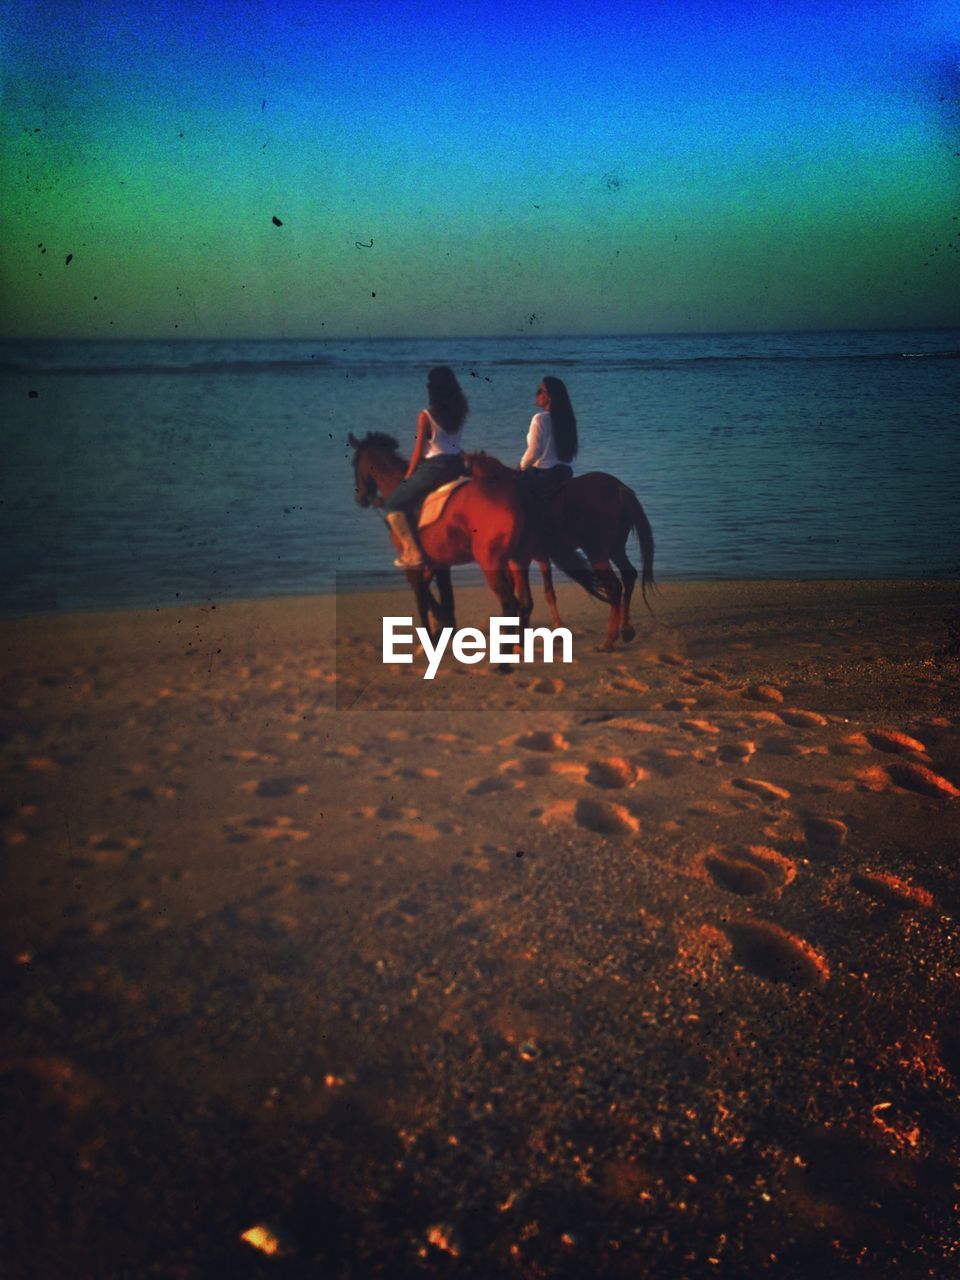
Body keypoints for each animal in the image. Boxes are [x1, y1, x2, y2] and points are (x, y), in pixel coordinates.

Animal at [350, 435, 611, 645]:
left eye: (354, 463)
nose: (361, 497)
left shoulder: (415, 563)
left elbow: (422, 594)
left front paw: (435, 629)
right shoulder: (438, 562)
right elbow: (443, 595)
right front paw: (443, 626)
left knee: (517, 600)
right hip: (521, 558)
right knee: (528, 600)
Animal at [463, 453, 655, 650]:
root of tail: (619, 488)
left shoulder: (516, 560)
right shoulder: (542, 558)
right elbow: (549, 593)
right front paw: (557, 629)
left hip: (597, 552)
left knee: (614, 587)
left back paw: (609, 639)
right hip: (615, 549)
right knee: (629, 575)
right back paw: (626, 629)